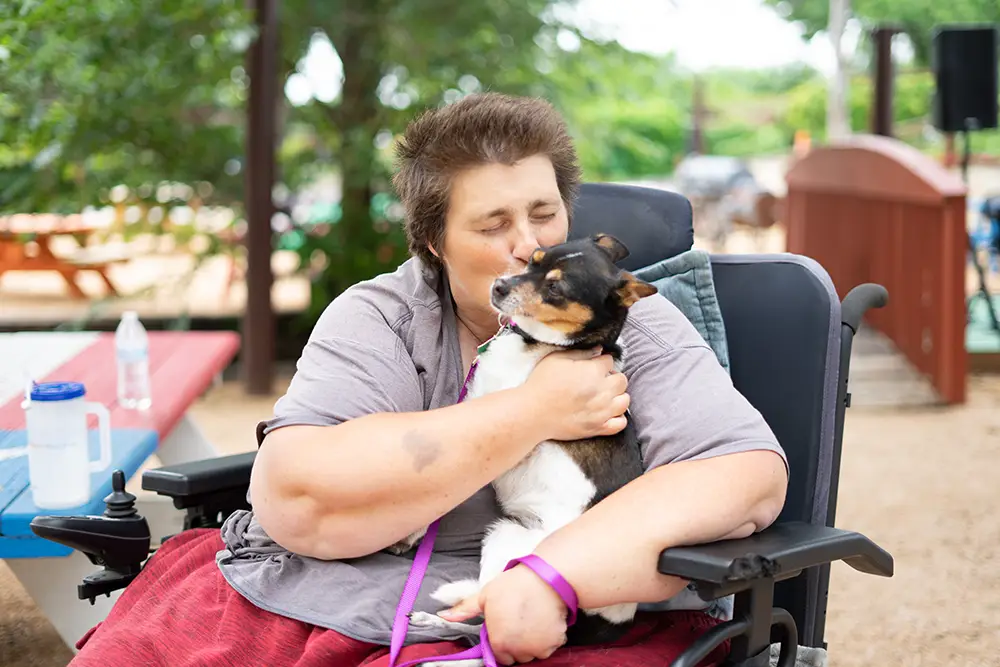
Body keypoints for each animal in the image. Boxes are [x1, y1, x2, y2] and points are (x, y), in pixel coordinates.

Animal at [398, 234, 658, 661]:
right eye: (532, 262)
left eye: (555, 288)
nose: (499, 286)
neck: (540, 347)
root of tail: (615, 621)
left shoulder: (502, 428)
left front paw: (415, 528)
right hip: (502, 534)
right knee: (480, 613)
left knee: (486, 607)